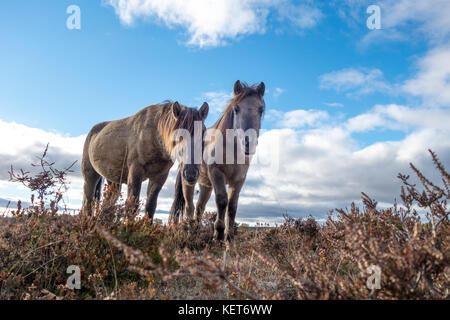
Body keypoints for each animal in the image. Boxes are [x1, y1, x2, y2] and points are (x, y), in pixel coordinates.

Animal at [171, 80, 266, 240]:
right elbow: (222, 201)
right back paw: (189, 233)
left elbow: (232, 207)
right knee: (190, 206)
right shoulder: (217, 174)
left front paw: (229, 238)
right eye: (236, 109)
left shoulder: (239, 180)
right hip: (189, 180)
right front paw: (219, 234)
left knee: (199, 208)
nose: (249, 143)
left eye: (261, 109)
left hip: (206, 185)